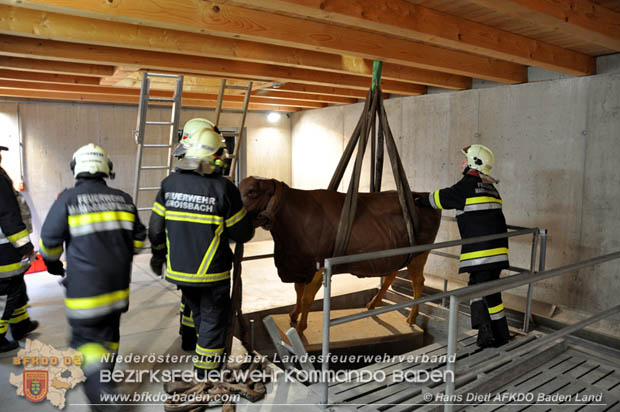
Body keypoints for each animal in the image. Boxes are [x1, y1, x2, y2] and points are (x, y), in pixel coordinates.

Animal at [239, 175, 440, 334]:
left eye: (252, 192)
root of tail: (419, 195)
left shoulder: (318, 265)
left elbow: (307, 298)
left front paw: (301, 328)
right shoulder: (301, 263)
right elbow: (298, 291)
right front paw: (294, 315)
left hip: (419, 253)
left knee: (418, 282)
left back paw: (412, 317)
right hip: (395, 254)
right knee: (392, 274)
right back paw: (373, 304)